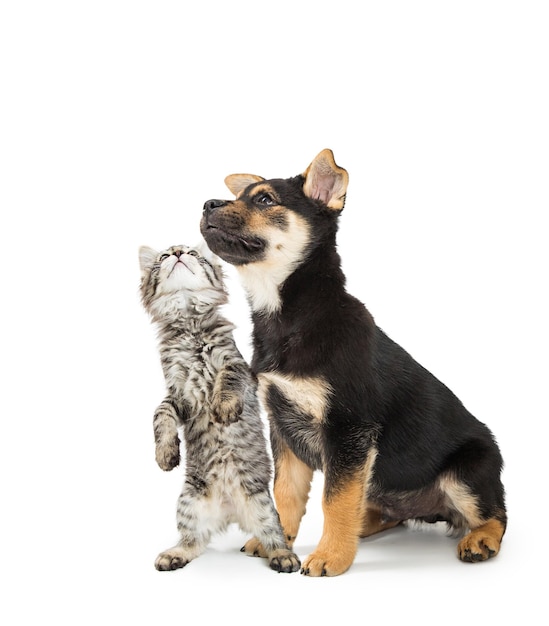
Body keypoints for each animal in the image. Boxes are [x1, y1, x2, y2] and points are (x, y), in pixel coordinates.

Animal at [137, 243, 300, 572]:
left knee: (274, 537)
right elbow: (159, 414)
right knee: (194, 541)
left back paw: (284, 557)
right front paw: (165, 454)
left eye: (192, 253)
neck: (189, 323)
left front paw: (223, 409)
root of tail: (229, 510)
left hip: (263, 506)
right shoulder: (177, 393)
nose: (177, 252)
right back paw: (173, 555)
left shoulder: (237, 366)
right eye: (163, 257)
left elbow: (227, 380)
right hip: (189, 504)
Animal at [199, 147, 508, 576]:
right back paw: (366, 524)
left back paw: (479, 540)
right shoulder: (283, 425)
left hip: (467, 472)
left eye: (264, 200)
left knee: (496, 514)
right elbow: (286, 493)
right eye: (241, 195)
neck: (291, 316)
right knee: (386, 511)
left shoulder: (349, 429)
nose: (207, 204)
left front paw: (330, 557)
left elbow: (335, 500)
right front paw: (276, 543)